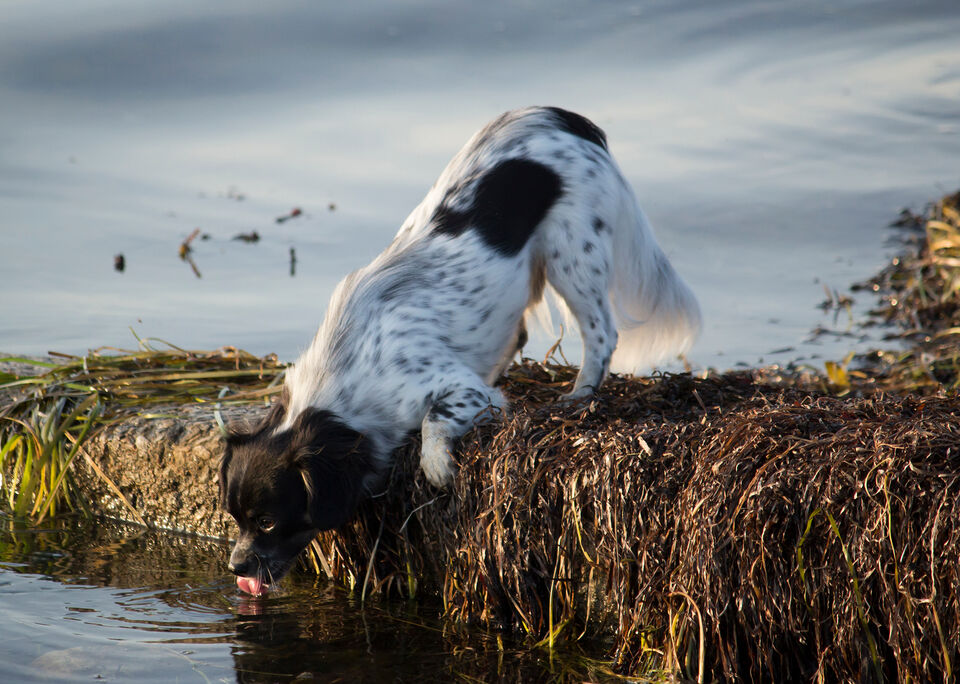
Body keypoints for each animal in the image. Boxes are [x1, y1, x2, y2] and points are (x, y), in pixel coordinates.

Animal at [219, 106, 701, 595]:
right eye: (235, 517)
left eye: (268, 521)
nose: (235, 567)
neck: (344, 371)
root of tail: (562, 116)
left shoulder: (459, 389)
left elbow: (434, 422)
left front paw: (437, 467)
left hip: (573, 256)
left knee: (602, 334)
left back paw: (580, 394)